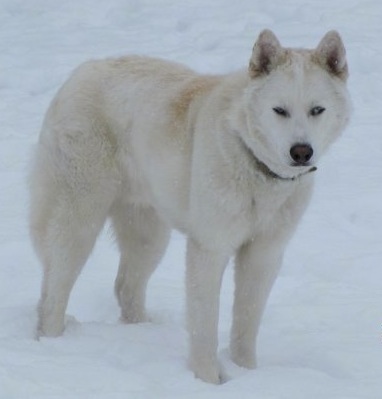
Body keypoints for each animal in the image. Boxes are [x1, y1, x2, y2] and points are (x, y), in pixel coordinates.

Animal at [30, 29, 352, 382]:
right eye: (279, 110)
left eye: (317, 110)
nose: (301, 152)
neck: (254, 164)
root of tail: (81, 71)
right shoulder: (209, 248)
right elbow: (205, 324)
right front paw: (209, 379)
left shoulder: (264, 254)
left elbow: (246, 323)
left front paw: (246, 372)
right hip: (79, 221)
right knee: (53, 292)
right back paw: (54, 344)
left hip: (150, 235)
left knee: (126, 286)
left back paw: (141, 332)